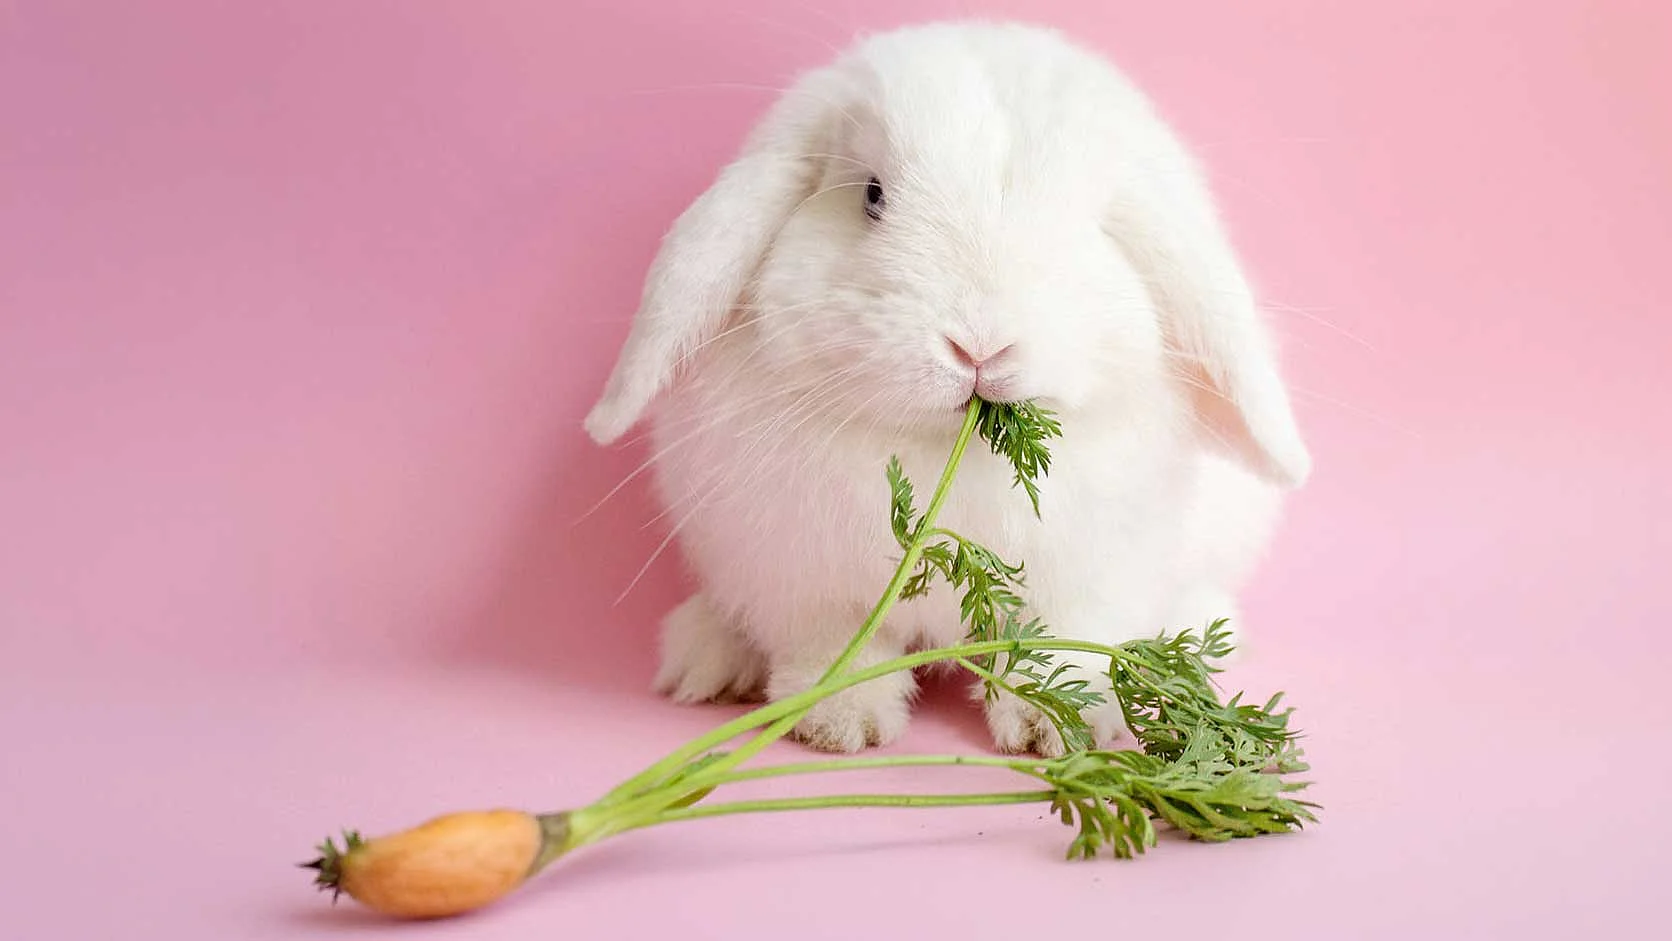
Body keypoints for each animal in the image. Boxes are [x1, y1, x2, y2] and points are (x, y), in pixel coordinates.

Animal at [583, 20, 1311, 756]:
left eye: (1089, 222)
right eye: (872, 195)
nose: (980, 347)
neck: (950, 456)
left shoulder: (1089, 582)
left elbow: (1063, 652)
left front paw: (1055, 729)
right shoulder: (806, 585)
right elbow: (839, 649)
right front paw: (842, 722)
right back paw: (705, 659)